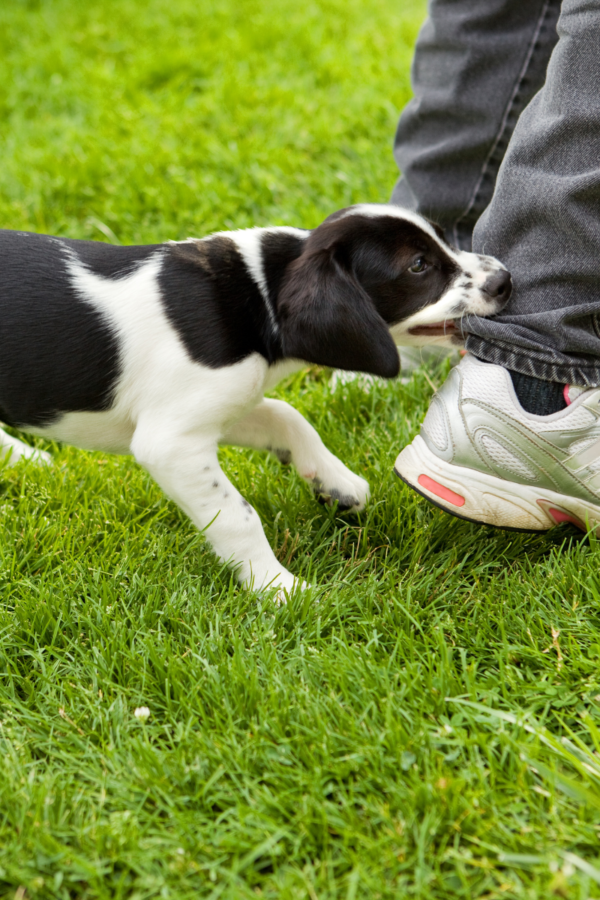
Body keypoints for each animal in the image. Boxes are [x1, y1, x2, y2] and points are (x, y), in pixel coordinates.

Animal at [0, 206, 510, 596]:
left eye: (444, 238)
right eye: (418, 266)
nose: (505, 279)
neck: (259, 293)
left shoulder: (227, 403)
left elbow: (287, 416)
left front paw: (336, 482)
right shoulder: (171, 442)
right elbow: (238, 517)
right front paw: (279, 588)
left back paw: (25, 458)